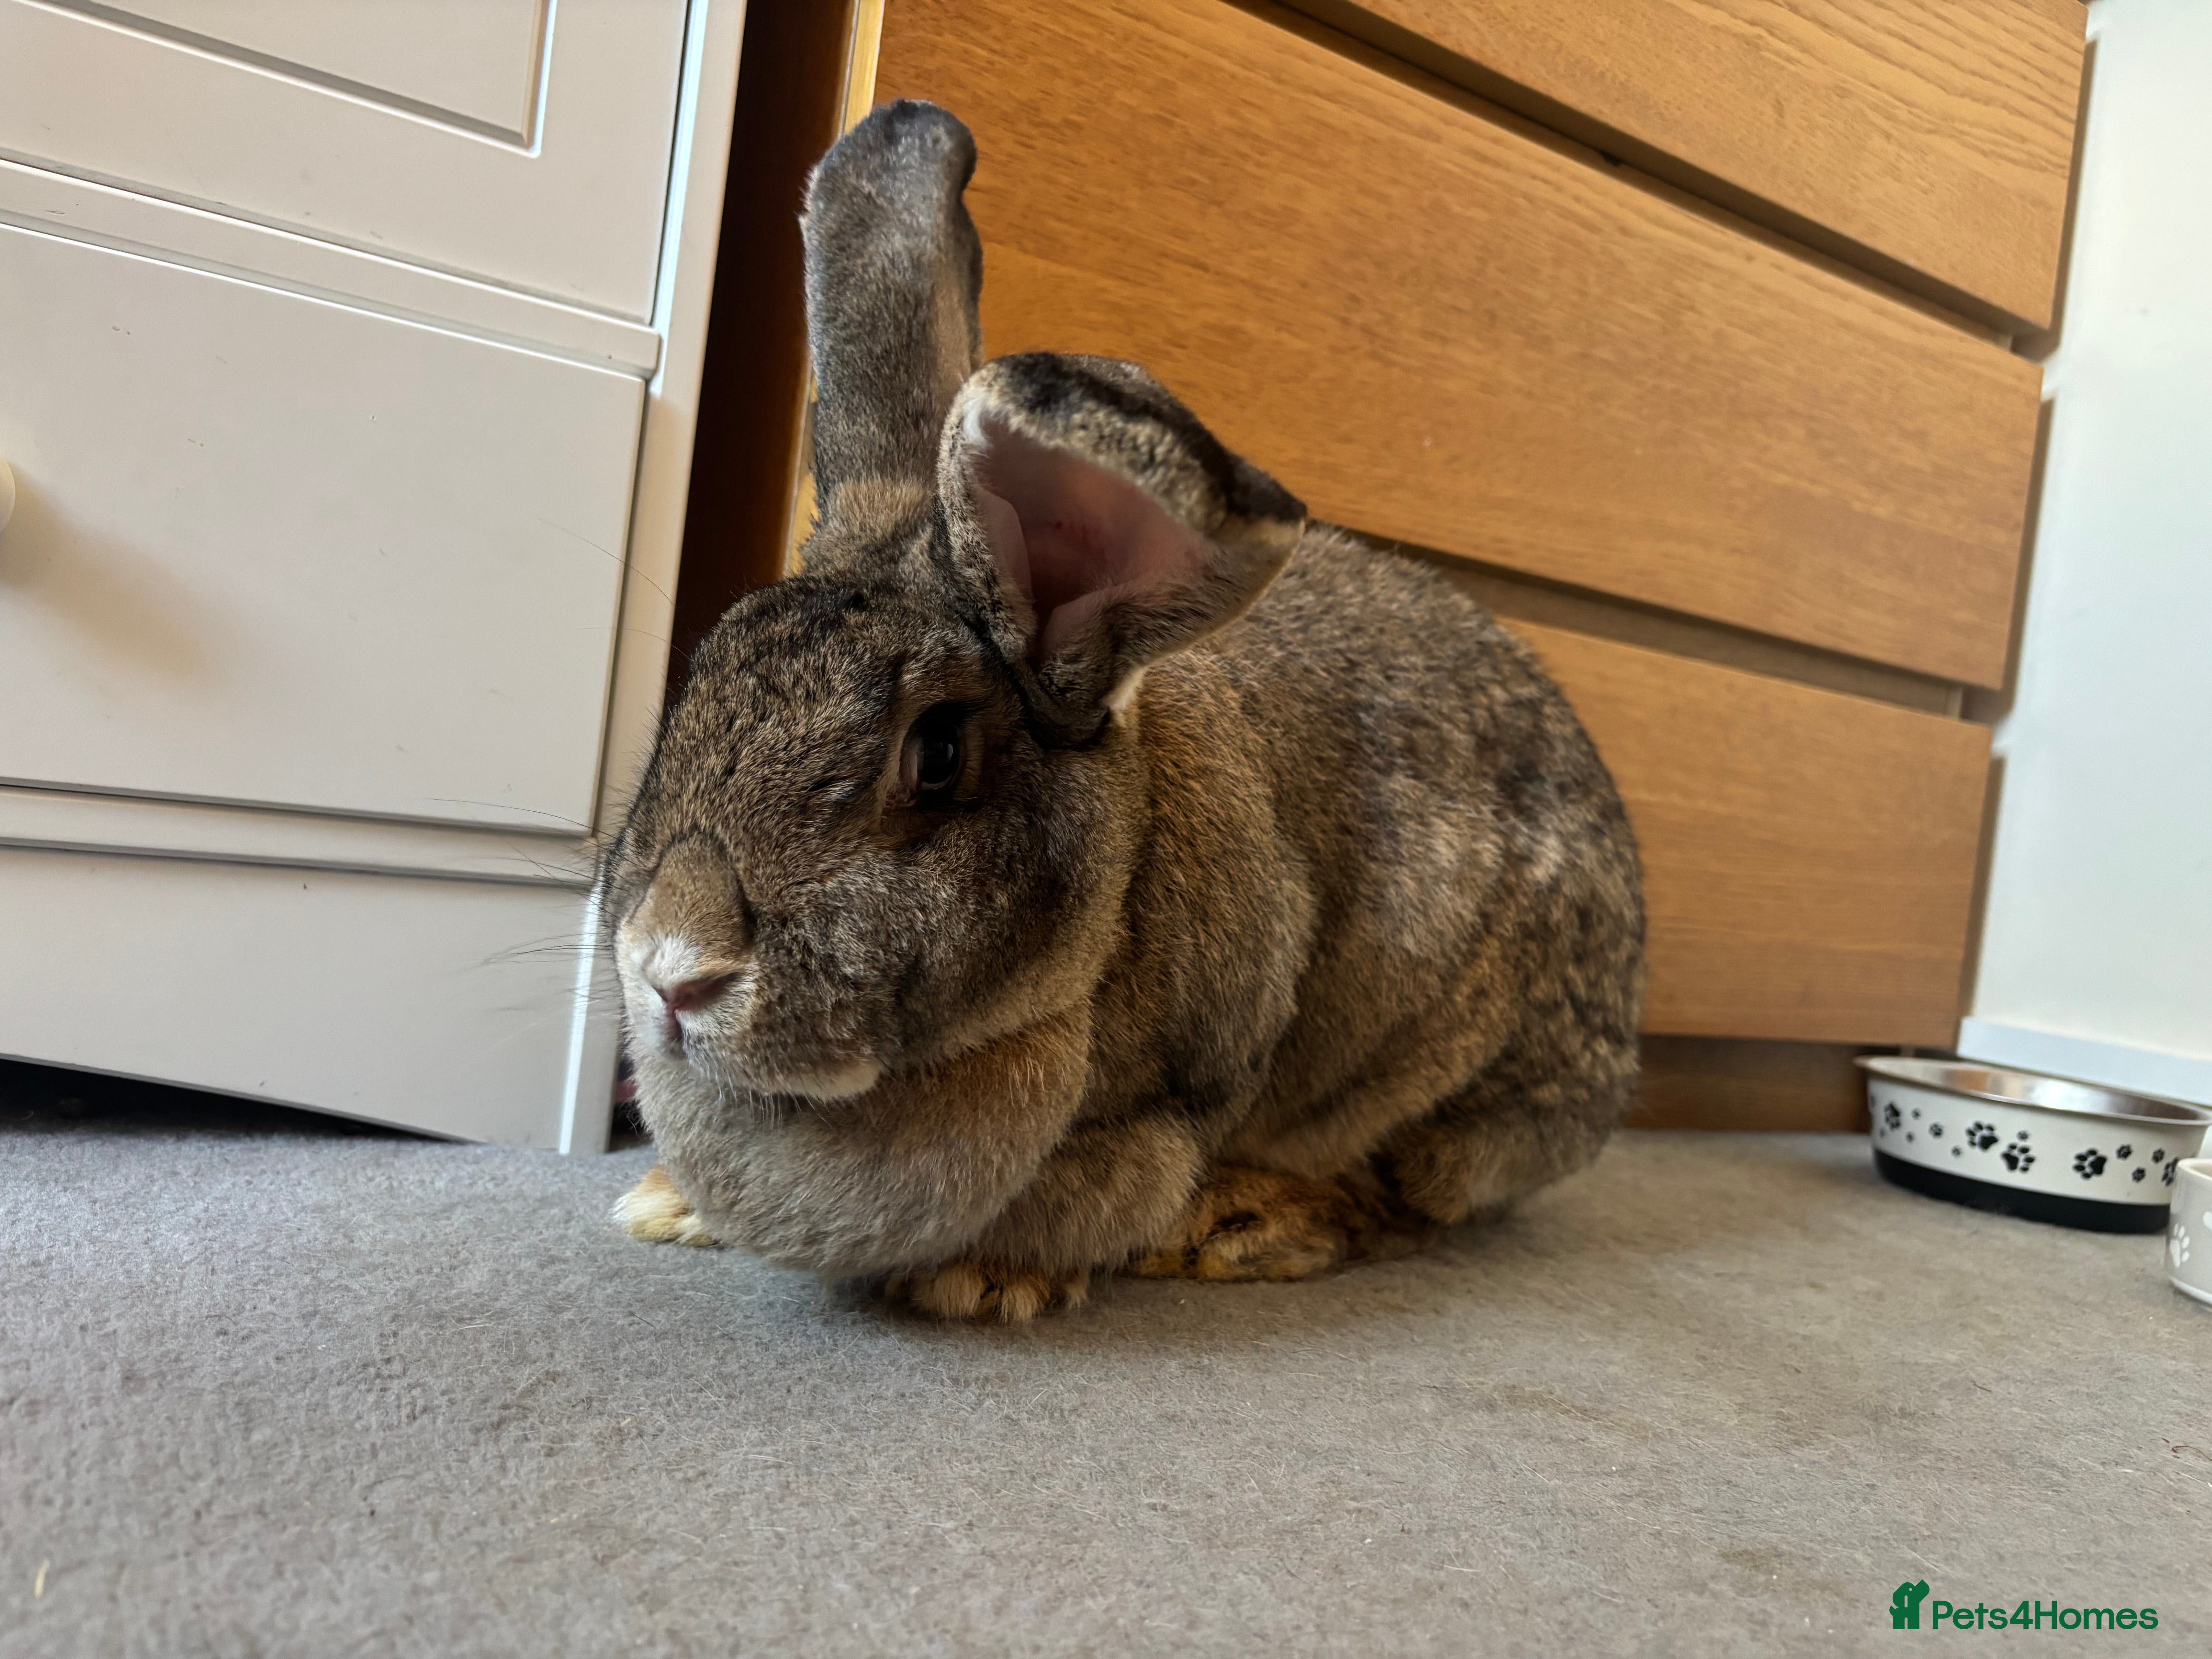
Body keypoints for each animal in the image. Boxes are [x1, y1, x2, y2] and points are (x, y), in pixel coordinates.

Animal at [600, 99, 1645, 1321]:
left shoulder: (1162, 1111)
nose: (672, 970)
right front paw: (664, 1203)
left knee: (1405, 1195)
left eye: (938, 752)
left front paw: (980, 1278)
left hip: (1443, 1084)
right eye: (701, 674)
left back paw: (1242, 1226)